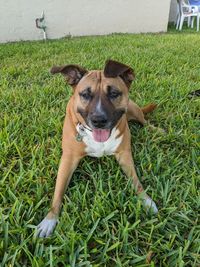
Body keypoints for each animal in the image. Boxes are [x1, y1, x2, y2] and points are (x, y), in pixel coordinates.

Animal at [36, 59, 159, 238]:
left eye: (114, 93)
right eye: (85, 94)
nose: (98, 120)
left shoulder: (124, 154)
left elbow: (136, 181)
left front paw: (146, 200)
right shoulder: (67, 160)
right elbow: (58, 192)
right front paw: (49, 219)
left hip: (134, 109)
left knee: (145, 121)